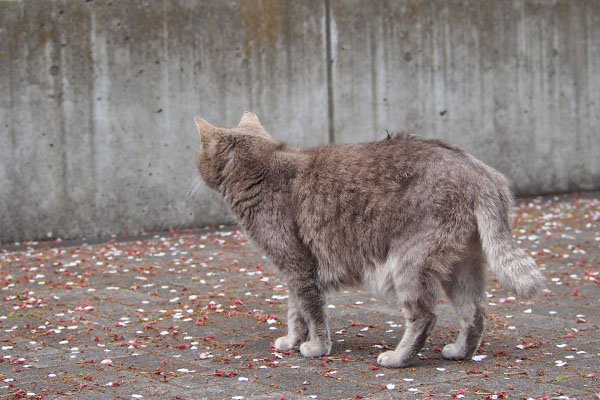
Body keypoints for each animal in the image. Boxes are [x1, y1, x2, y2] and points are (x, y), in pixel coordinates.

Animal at [193, 111, 544, 368]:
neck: (261, 168)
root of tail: (479, 171)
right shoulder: (294, 271)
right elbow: (296, 312)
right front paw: (292, 341)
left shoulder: (298, 265)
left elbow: (312, 312)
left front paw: (316, 347)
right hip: (461, 265)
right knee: (475, 311)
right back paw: (460, 352)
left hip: (410, 263)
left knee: (425, 317)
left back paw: (398, 358)